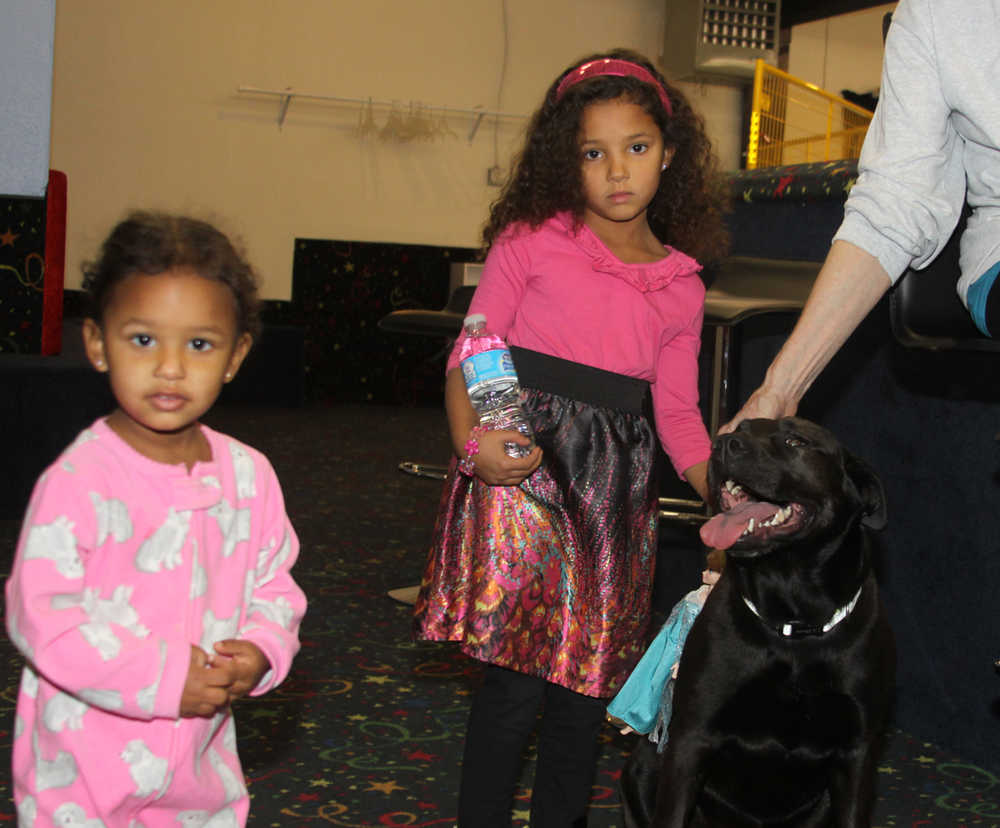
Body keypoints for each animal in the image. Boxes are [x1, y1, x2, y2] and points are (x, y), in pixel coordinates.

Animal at [628, 420, 896, 828]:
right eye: (743, 427)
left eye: (796, 441)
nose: (723, 443)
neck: (794, 623)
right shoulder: (691, 739)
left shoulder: (858, 754)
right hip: (644, 765)